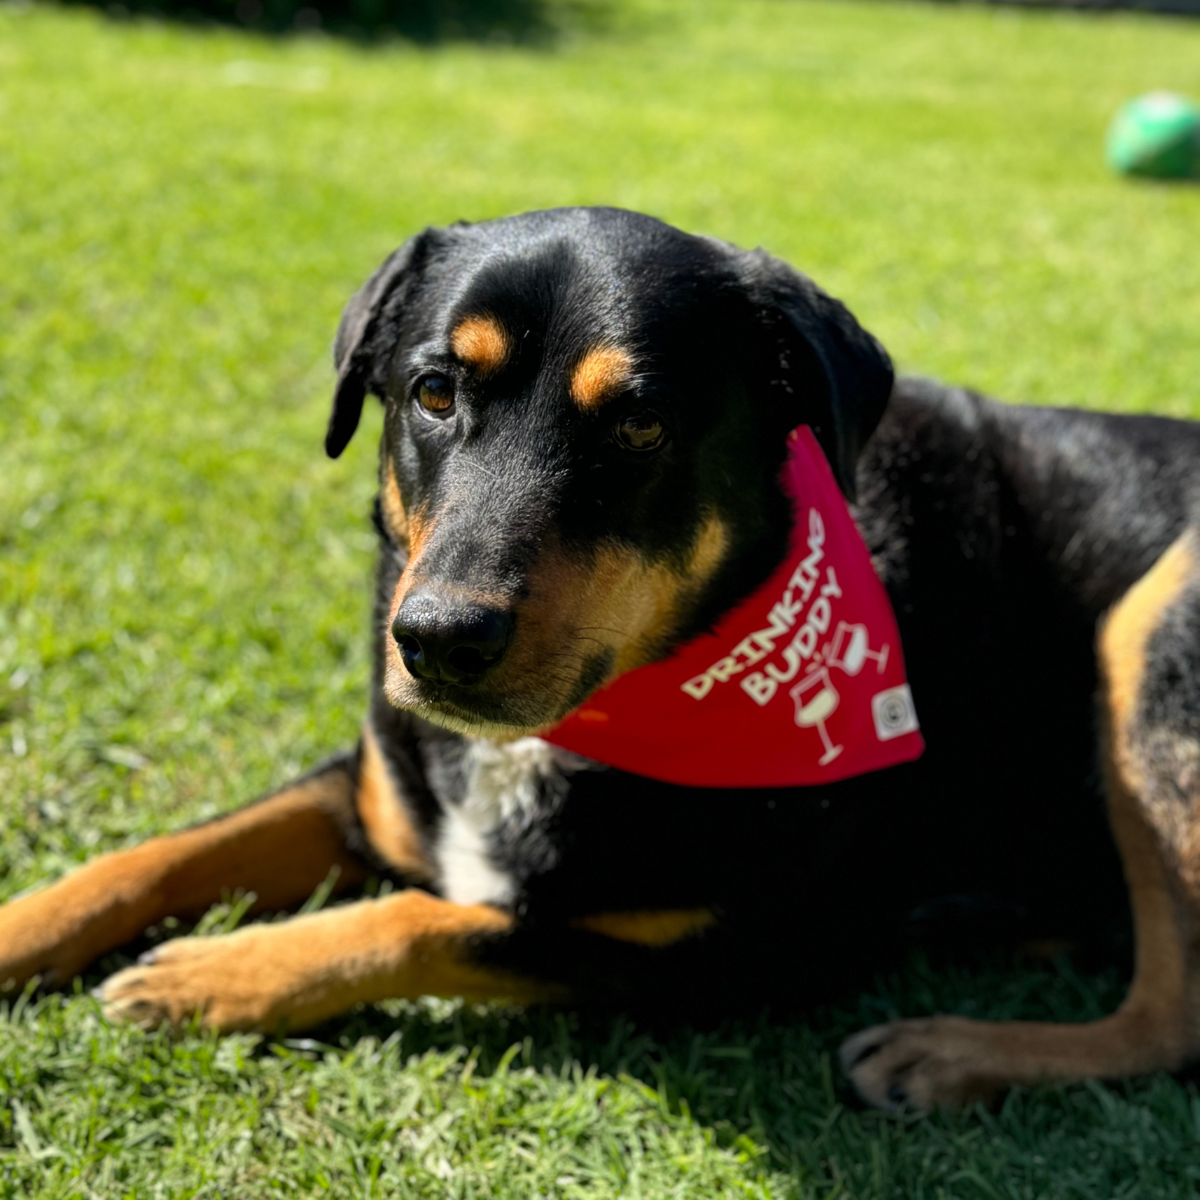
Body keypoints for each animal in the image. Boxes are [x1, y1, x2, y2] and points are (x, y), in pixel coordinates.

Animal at [2, 208, 1200, 1113]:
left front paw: (216, 972)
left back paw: (948, 1051)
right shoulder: (372, 784)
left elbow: (438, 919)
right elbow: (156, 855)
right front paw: (25, 928)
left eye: (638, 426)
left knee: (1170, 1023)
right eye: (433, 392)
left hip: (1146, 626)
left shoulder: (707, 954)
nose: (435, 638)